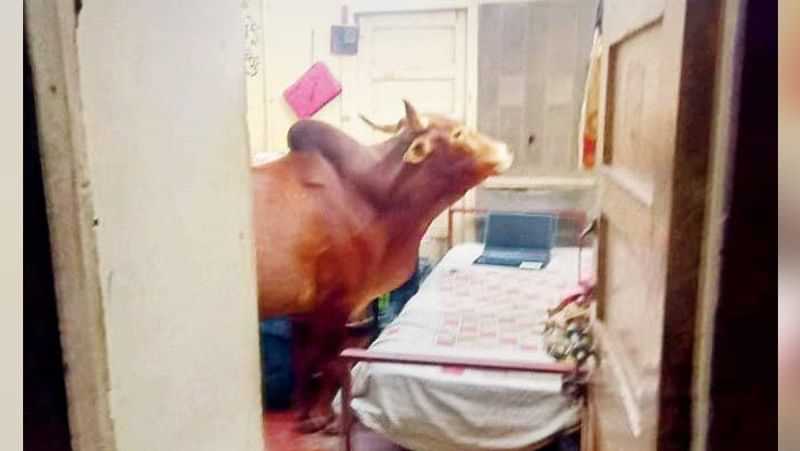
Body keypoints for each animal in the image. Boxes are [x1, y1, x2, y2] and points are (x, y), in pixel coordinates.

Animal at [252, 100, 512, 432]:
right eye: (456, 133)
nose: (504, 150)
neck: (370, 195)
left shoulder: (303, 311)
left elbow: (304, 362)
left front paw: (303, 414)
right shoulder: (337, 304)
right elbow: (330, 362)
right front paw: (324, 417)